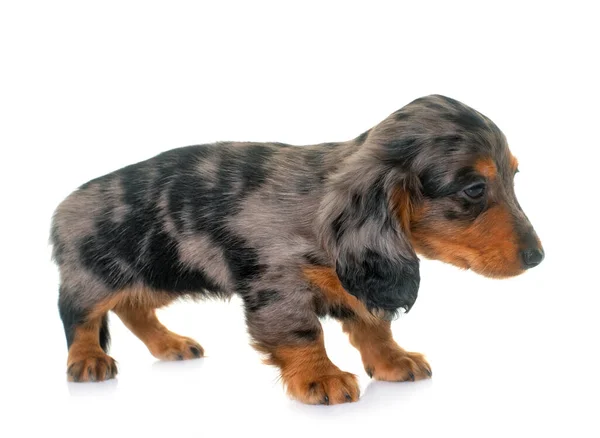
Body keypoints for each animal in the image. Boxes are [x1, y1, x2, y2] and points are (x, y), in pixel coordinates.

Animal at [51, 95, 544, 404]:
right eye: (475, 189)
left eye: (514, 177)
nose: (538, 257)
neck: (323, 212)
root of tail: (65, 205)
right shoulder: (278, 286)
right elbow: (303, 333)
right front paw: (320, 376)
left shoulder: (358, 281)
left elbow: (373, 326)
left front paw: (392, 360)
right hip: (96, 276)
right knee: (80, 316)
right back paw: (88, 360)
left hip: (158, 274)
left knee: (133, 309)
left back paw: (169, 343)